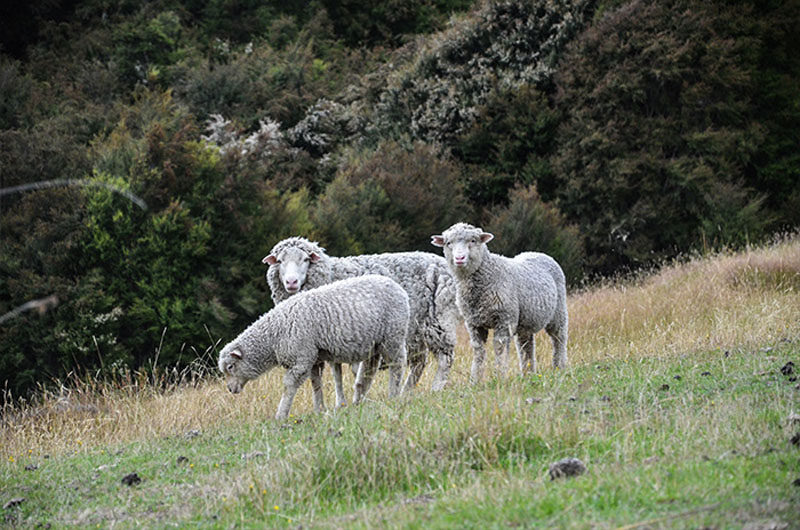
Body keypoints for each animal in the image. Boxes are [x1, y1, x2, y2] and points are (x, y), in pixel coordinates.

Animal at [217, 274, 410, 418]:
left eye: (231, 367)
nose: (230, 389)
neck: (274, 335)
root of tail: (398, 288)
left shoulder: (301, 359)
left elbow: (289, 386)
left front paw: (281, 414)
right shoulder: (313, 358)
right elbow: (316, 383)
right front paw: (319, 409)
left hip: (393, 336)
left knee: (397, 365)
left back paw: (393, 395)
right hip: (375, 345)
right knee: (368, 372)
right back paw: (359, 400)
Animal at [264, 236, 460, 400]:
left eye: (305, 259)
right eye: (280, 261)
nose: (291, 282)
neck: (331, 273)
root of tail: (442, 263)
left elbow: (351, 372)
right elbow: (333, 374)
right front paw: (338, 404)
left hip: (439, 320)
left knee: (445, 359)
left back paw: (435, 389)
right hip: (416, 331)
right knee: (419, 363)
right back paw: (406, 392)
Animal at [432, 222, 568, 380]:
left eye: (473, 240)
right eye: (448, 243)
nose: (459, 258)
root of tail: (538, 253)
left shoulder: (504, 319)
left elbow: (499, 348)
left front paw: (500, 377)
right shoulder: (473, 323)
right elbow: (479, 351)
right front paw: (475, 379)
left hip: (558, 313)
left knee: (559, 339)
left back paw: (559, 368)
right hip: (525, 321)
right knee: (526, 346)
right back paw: (528, 374)